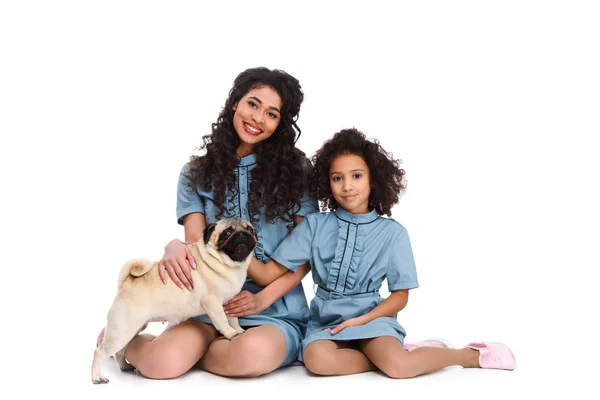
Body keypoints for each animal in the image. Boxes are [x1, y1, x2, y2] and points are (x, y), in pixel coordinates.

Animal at [92, 219, 258, 384]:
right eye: (227, 233)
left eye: (250, 230)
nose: (242, 234)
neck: (228, 265)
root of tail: (126, 283)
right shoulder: (213, 302)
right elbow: (223, 321)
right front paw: (230, 333)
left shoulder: (229, 302)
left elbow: (233, 319)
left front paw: (238, 330)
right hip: (123, 330)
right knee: (100, 352)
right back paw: (97, 377)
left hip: (132, 328)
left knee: (120, 351)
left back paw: (125, 367)